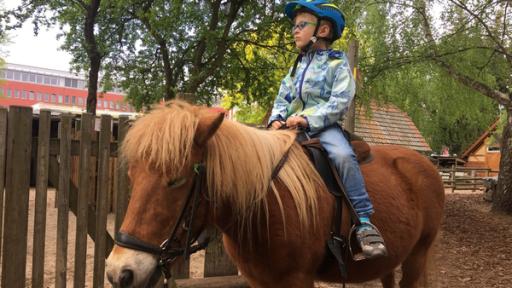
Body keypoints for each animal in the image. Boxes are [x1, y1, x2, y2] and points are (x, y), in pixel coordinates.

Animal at [107, 100, 444, 286]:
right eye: (132, 176)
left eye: (176, 180)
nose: (118, 272)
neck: (267, 206)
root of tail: (426, 165)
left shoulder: (298, 280)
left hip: (417, 256)